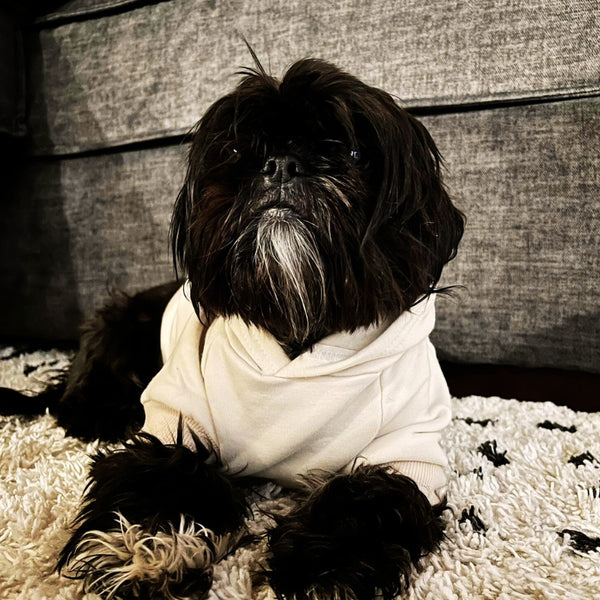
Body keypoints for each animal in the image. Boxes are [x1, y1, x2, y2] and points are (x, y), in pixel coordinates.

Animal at [0, 56, 464, 600]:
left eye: (352, 151)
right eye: (241, 148)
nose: (282, 164)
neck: (296, 334)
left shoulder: (408, 450)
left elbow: (366, 500)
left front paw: (322, 568)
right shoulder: (176, 417)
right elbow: (161, 474)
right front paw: (148, 551)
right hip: (117, 327)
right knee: (75, 405)